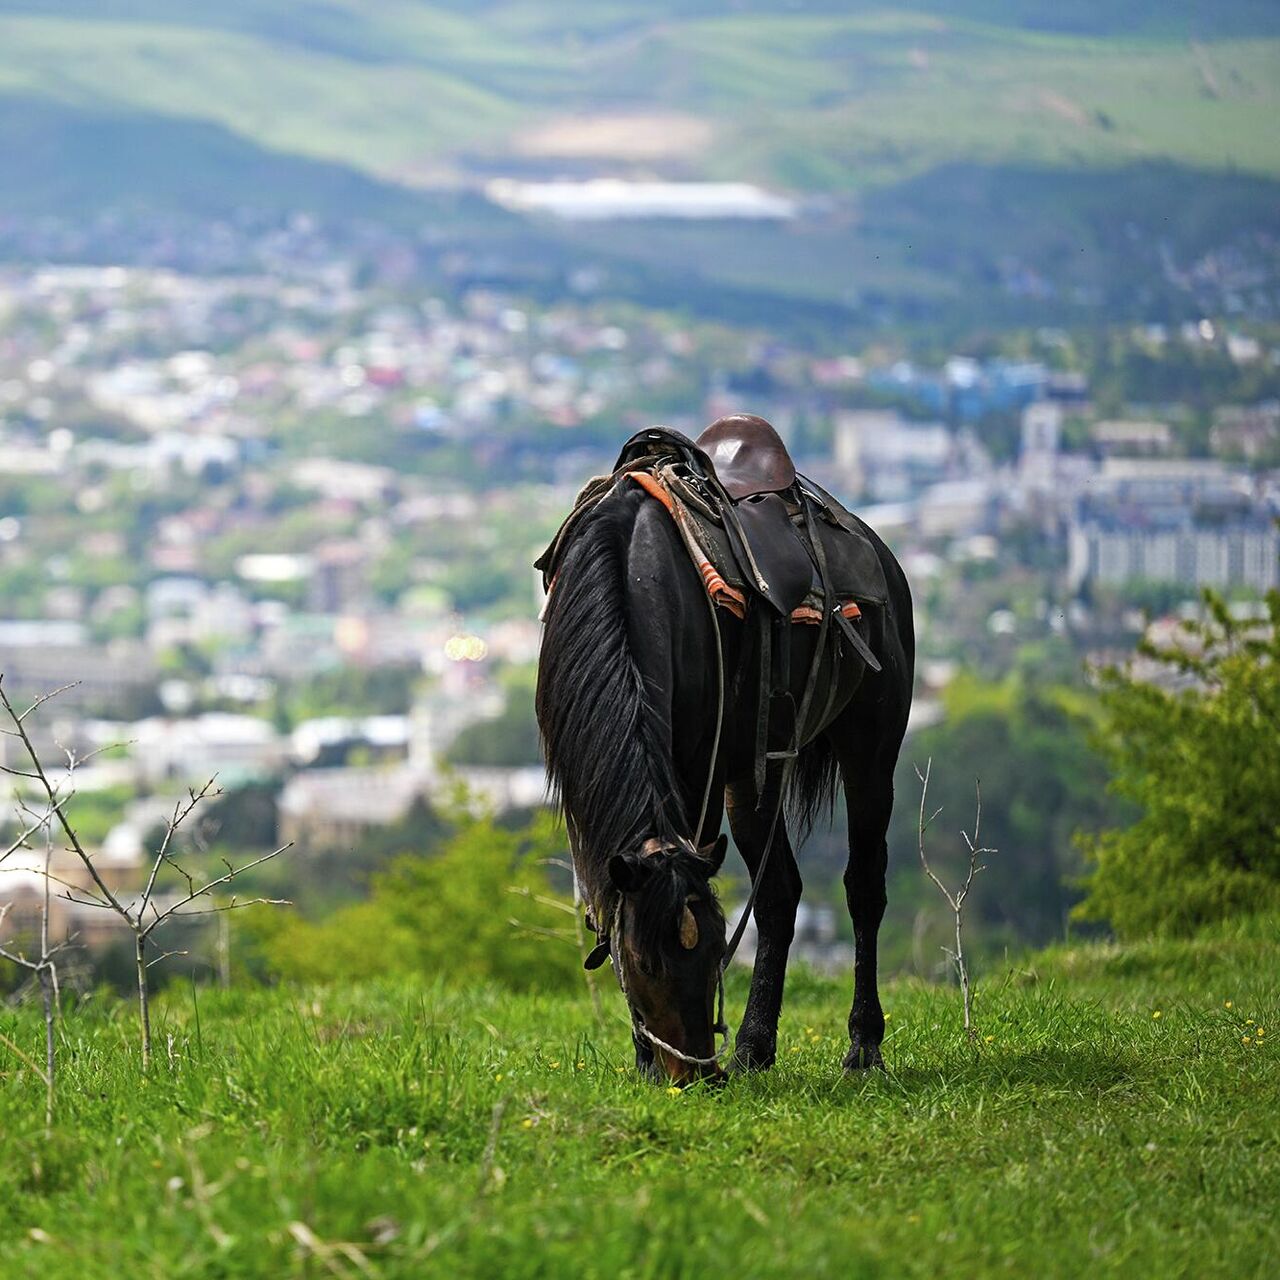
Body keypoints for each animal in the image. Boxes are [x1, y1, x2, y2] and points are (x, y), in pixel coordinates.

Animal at [535, 419, 916, 1080]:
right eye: (646, 961)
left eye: (715, 950)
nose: (695, 1076)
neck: (630, 570)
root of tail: (880, 554)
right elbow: (607, 904)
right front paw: (644, 1056)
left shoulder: (700, 770)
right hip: (753, 775)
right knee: (780, 894)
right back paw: (754, 1048)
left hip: (872, 750)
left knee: (865, 884)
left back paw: (862, 1046)